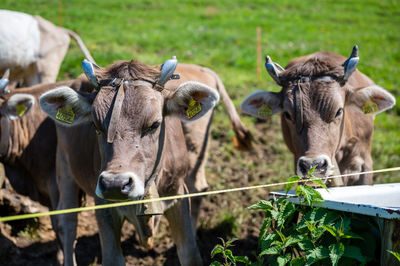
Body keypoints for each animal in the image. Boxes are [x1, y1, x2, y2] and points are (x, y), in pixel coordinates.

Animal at [39, 57, 253, 264]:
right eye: (96, 125)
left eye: (154, 124)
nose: (115, 184)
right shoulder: (104, 207)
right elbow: (112, 258)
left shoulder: (178, 194)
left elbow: (190, 254)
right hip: (65, 171)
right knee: (67, 225)